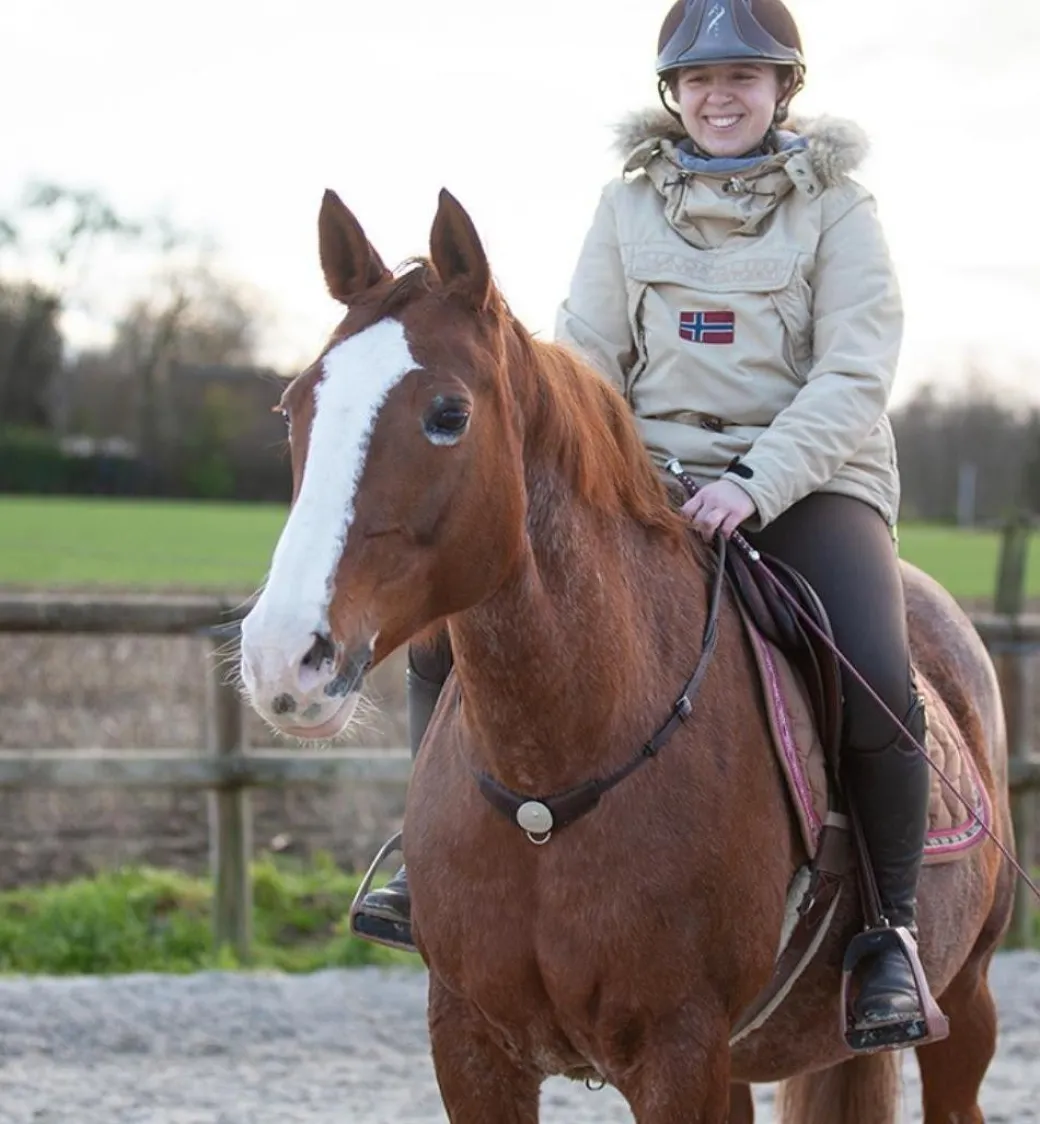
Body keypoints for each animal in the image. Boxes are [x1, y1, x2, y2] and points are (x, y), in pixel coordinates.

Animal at [238, 186, 1015, 1124]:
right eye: (293, 408)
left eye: (448, 415)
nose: (284, 659)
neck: (556, 776)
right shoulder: (470, 1047)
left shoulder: (679, 1054)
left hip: (965, 1002)